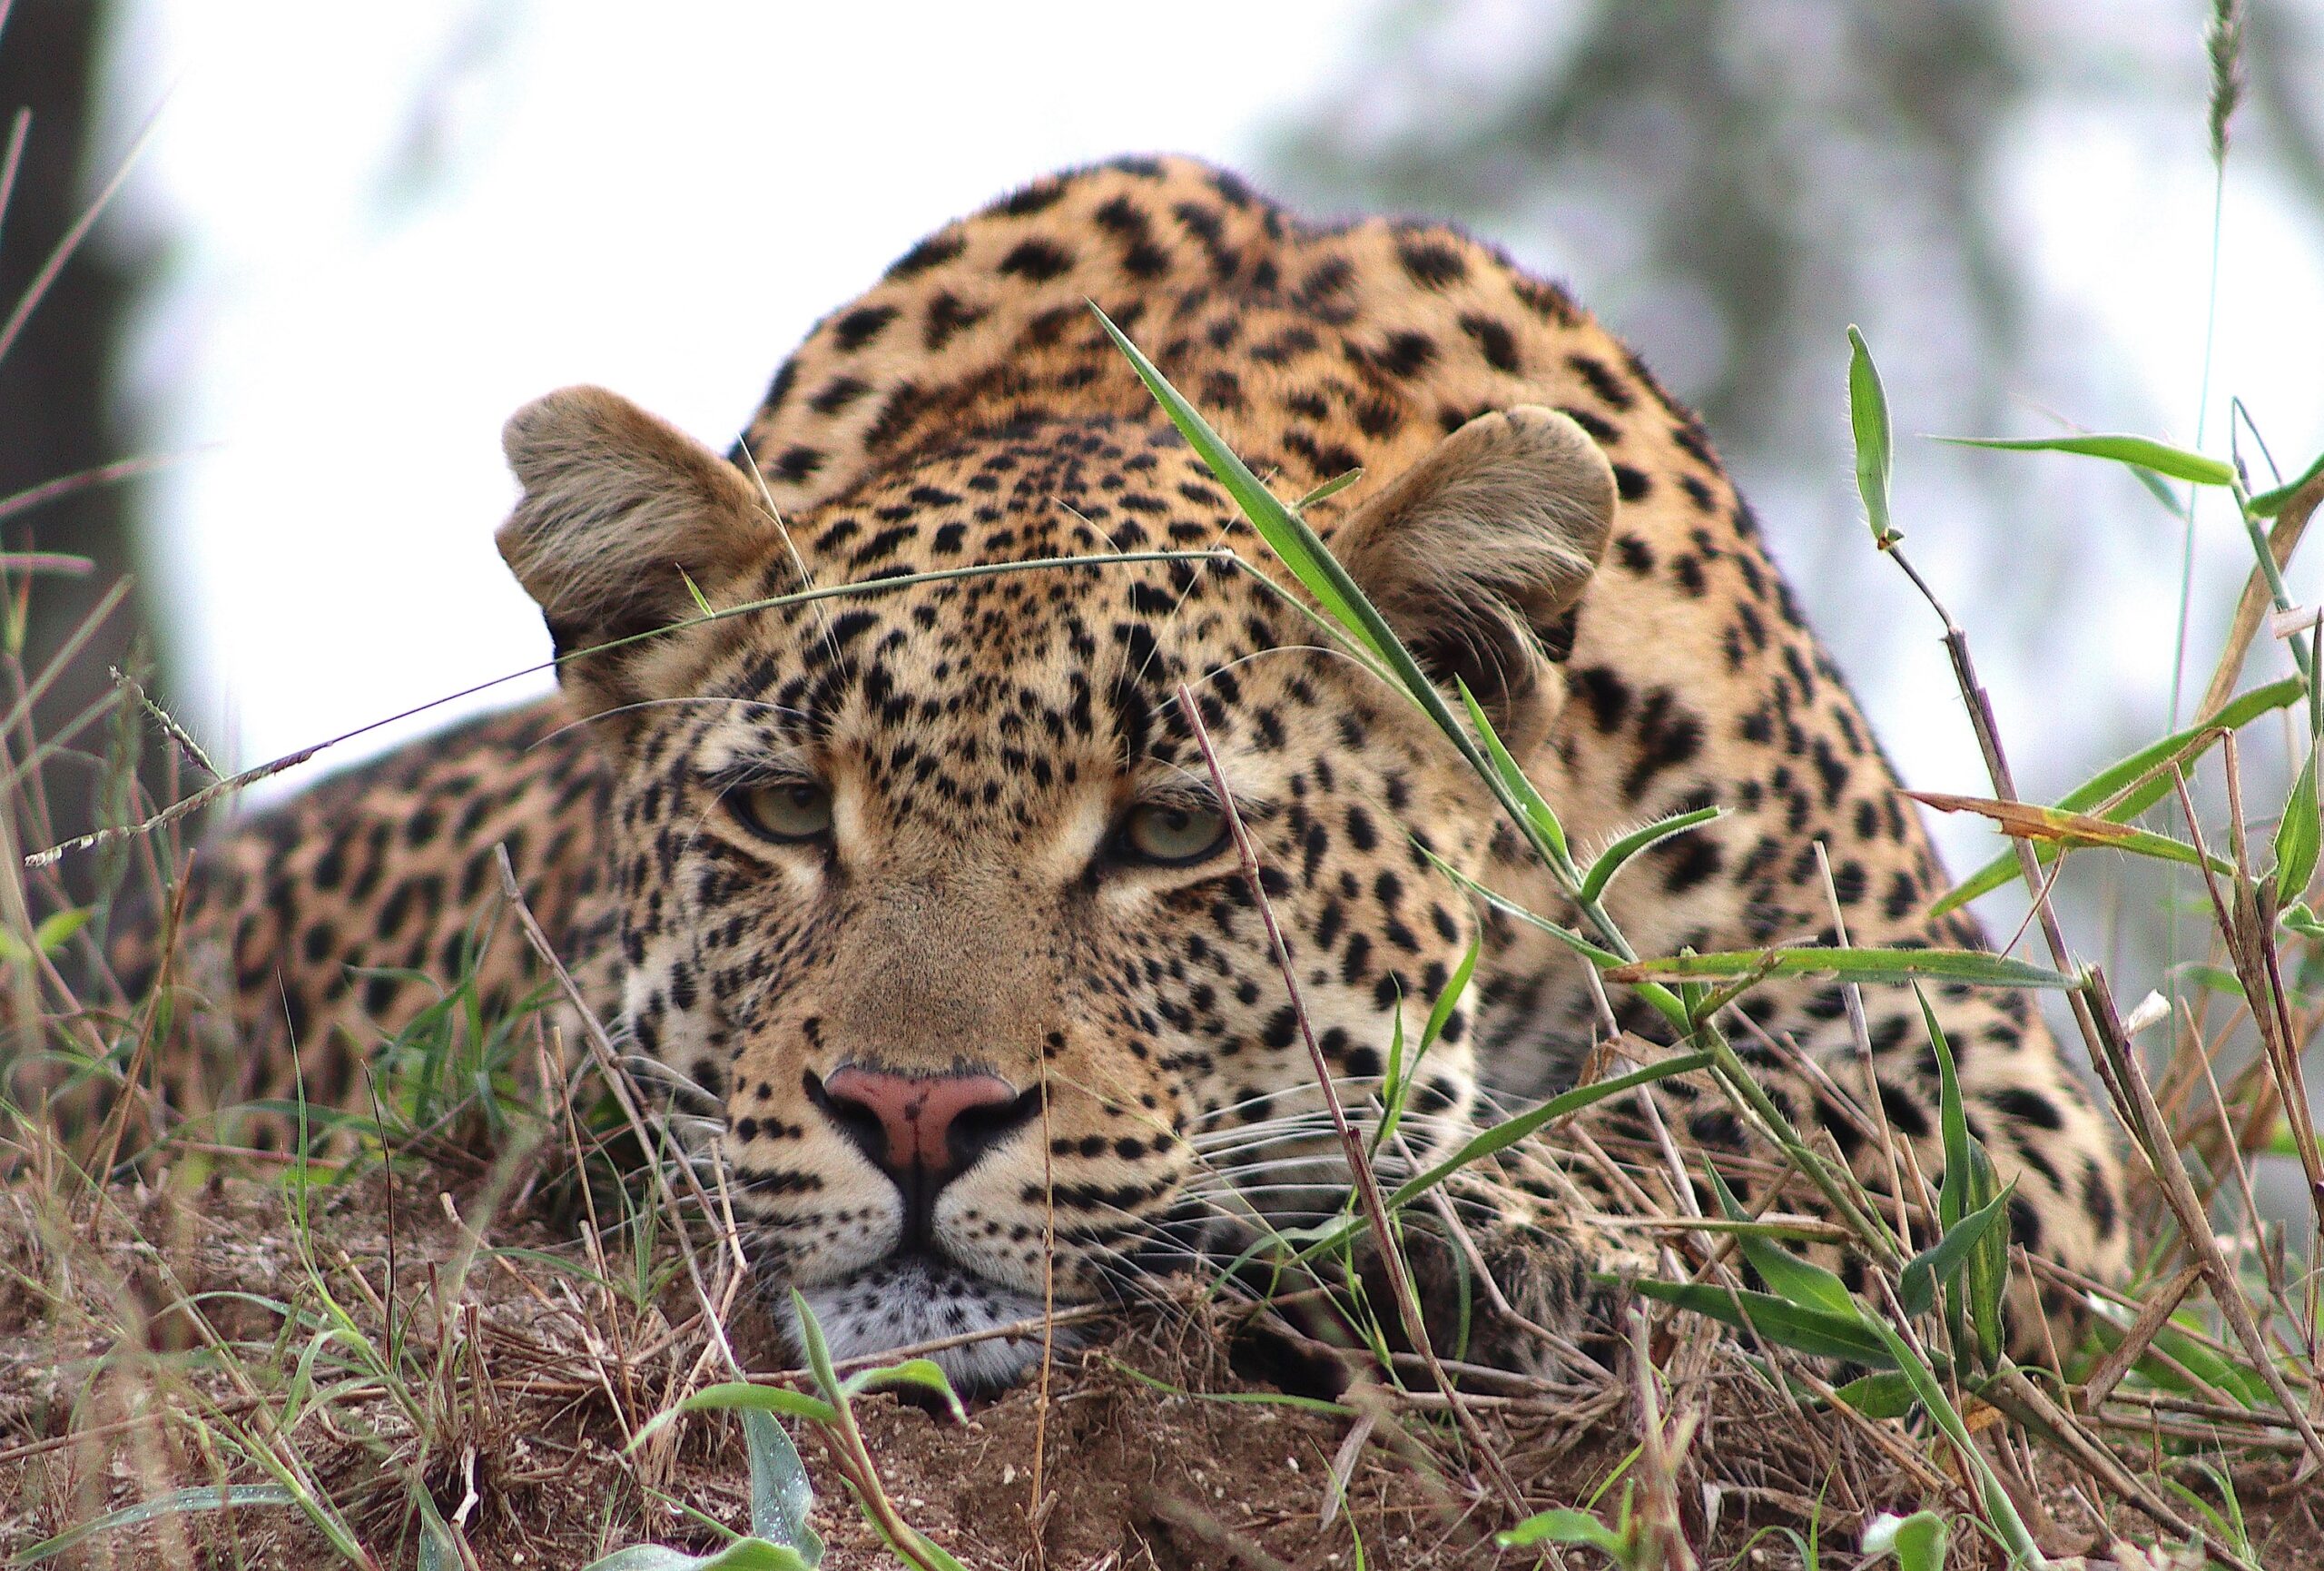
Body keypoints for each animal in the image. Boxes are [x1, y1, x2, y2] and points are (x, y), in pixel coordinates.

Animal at [111, 156, 2128, 1389]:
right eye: (783, 813)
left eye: (1172, 834)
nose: (912, 1115)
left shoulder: (1990, 1092)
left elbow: (1754, 1145)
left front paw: (1465, 1217)